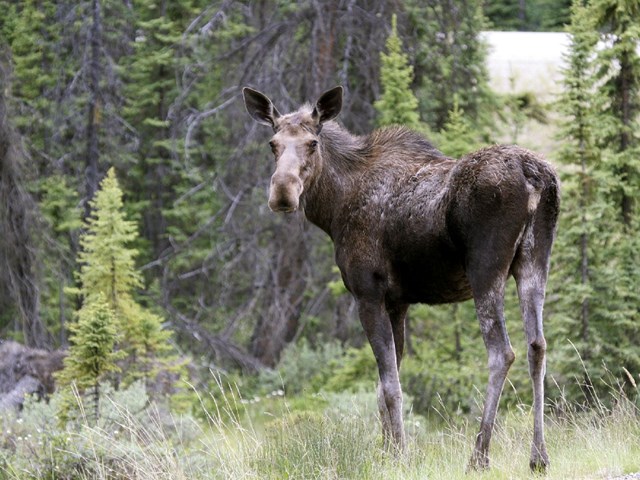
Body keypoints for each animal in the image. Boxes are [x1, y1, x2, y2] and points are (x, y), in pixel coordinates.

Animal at [242, 86, 556, 472]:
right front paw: (387, 451)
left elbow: (391, 387)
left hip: (485, 268)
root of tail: (535, 176)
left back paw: (479, 456)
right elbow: (384, 386)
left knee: (502, 352)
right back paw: (538, 456)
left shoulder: (368, 292)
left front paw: (400, 455)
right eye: (273, 143)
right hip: (534, 262)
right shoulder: (398, 302)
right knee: (537, 346)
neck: (334, 209)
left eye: (312, 143)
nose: (283, 192)